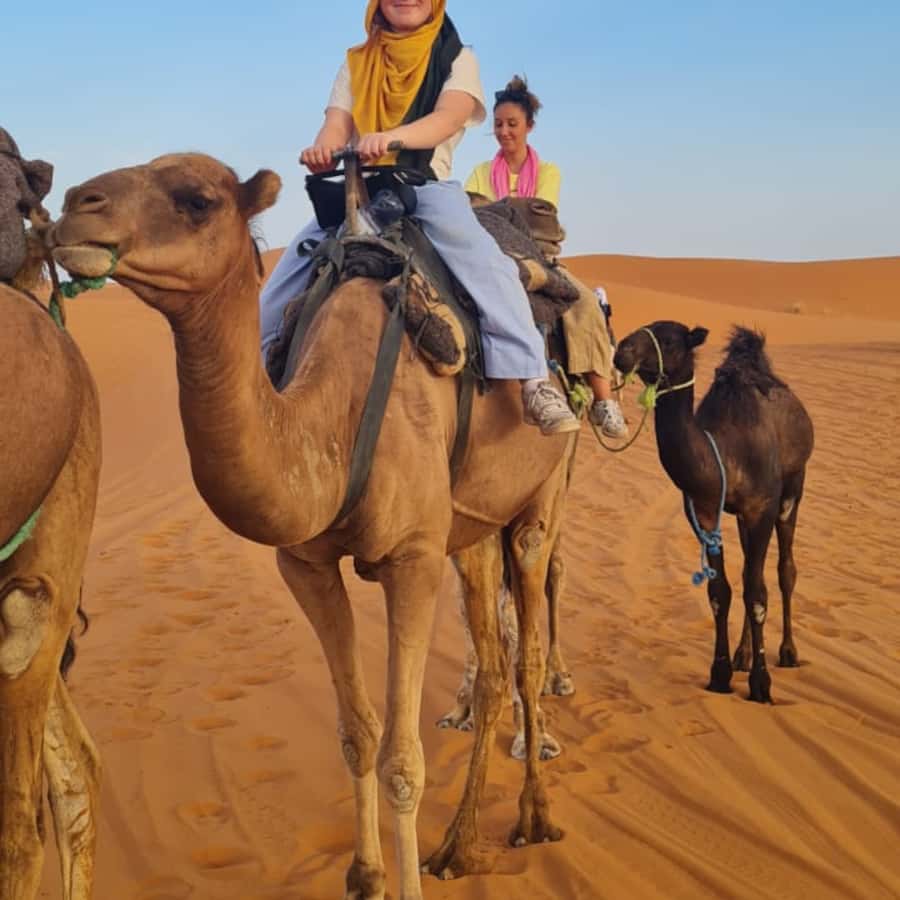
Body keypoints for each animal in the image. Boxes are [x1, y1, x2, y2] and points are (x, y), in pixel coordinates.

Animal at [51, 153, 575, 900]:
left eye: (197, 199)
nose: (73, 206)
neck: (336, 418)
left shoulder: (412, 561)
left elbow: (402, 760)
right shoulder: (306, 564)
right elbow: (357, 733)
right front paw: (366, 876)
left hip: (543, 494)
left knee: (529, 646)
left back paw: (534, 815)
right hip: (472, 528)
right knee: (496, 667)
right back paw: (457, 845)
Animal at [614, 322, 814, 702]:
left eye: (669, 340)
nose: (621, 350)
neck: (725, 449)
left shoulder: (762, 507)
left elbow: (757, 593)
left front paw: (761, 685)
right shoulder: (706, 514)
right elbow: (721, 591)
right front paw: (720, 675)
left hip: (794, 484)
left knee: (785, 569)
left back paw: (788, 653)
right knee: (751, 568)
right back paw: (742, 656)